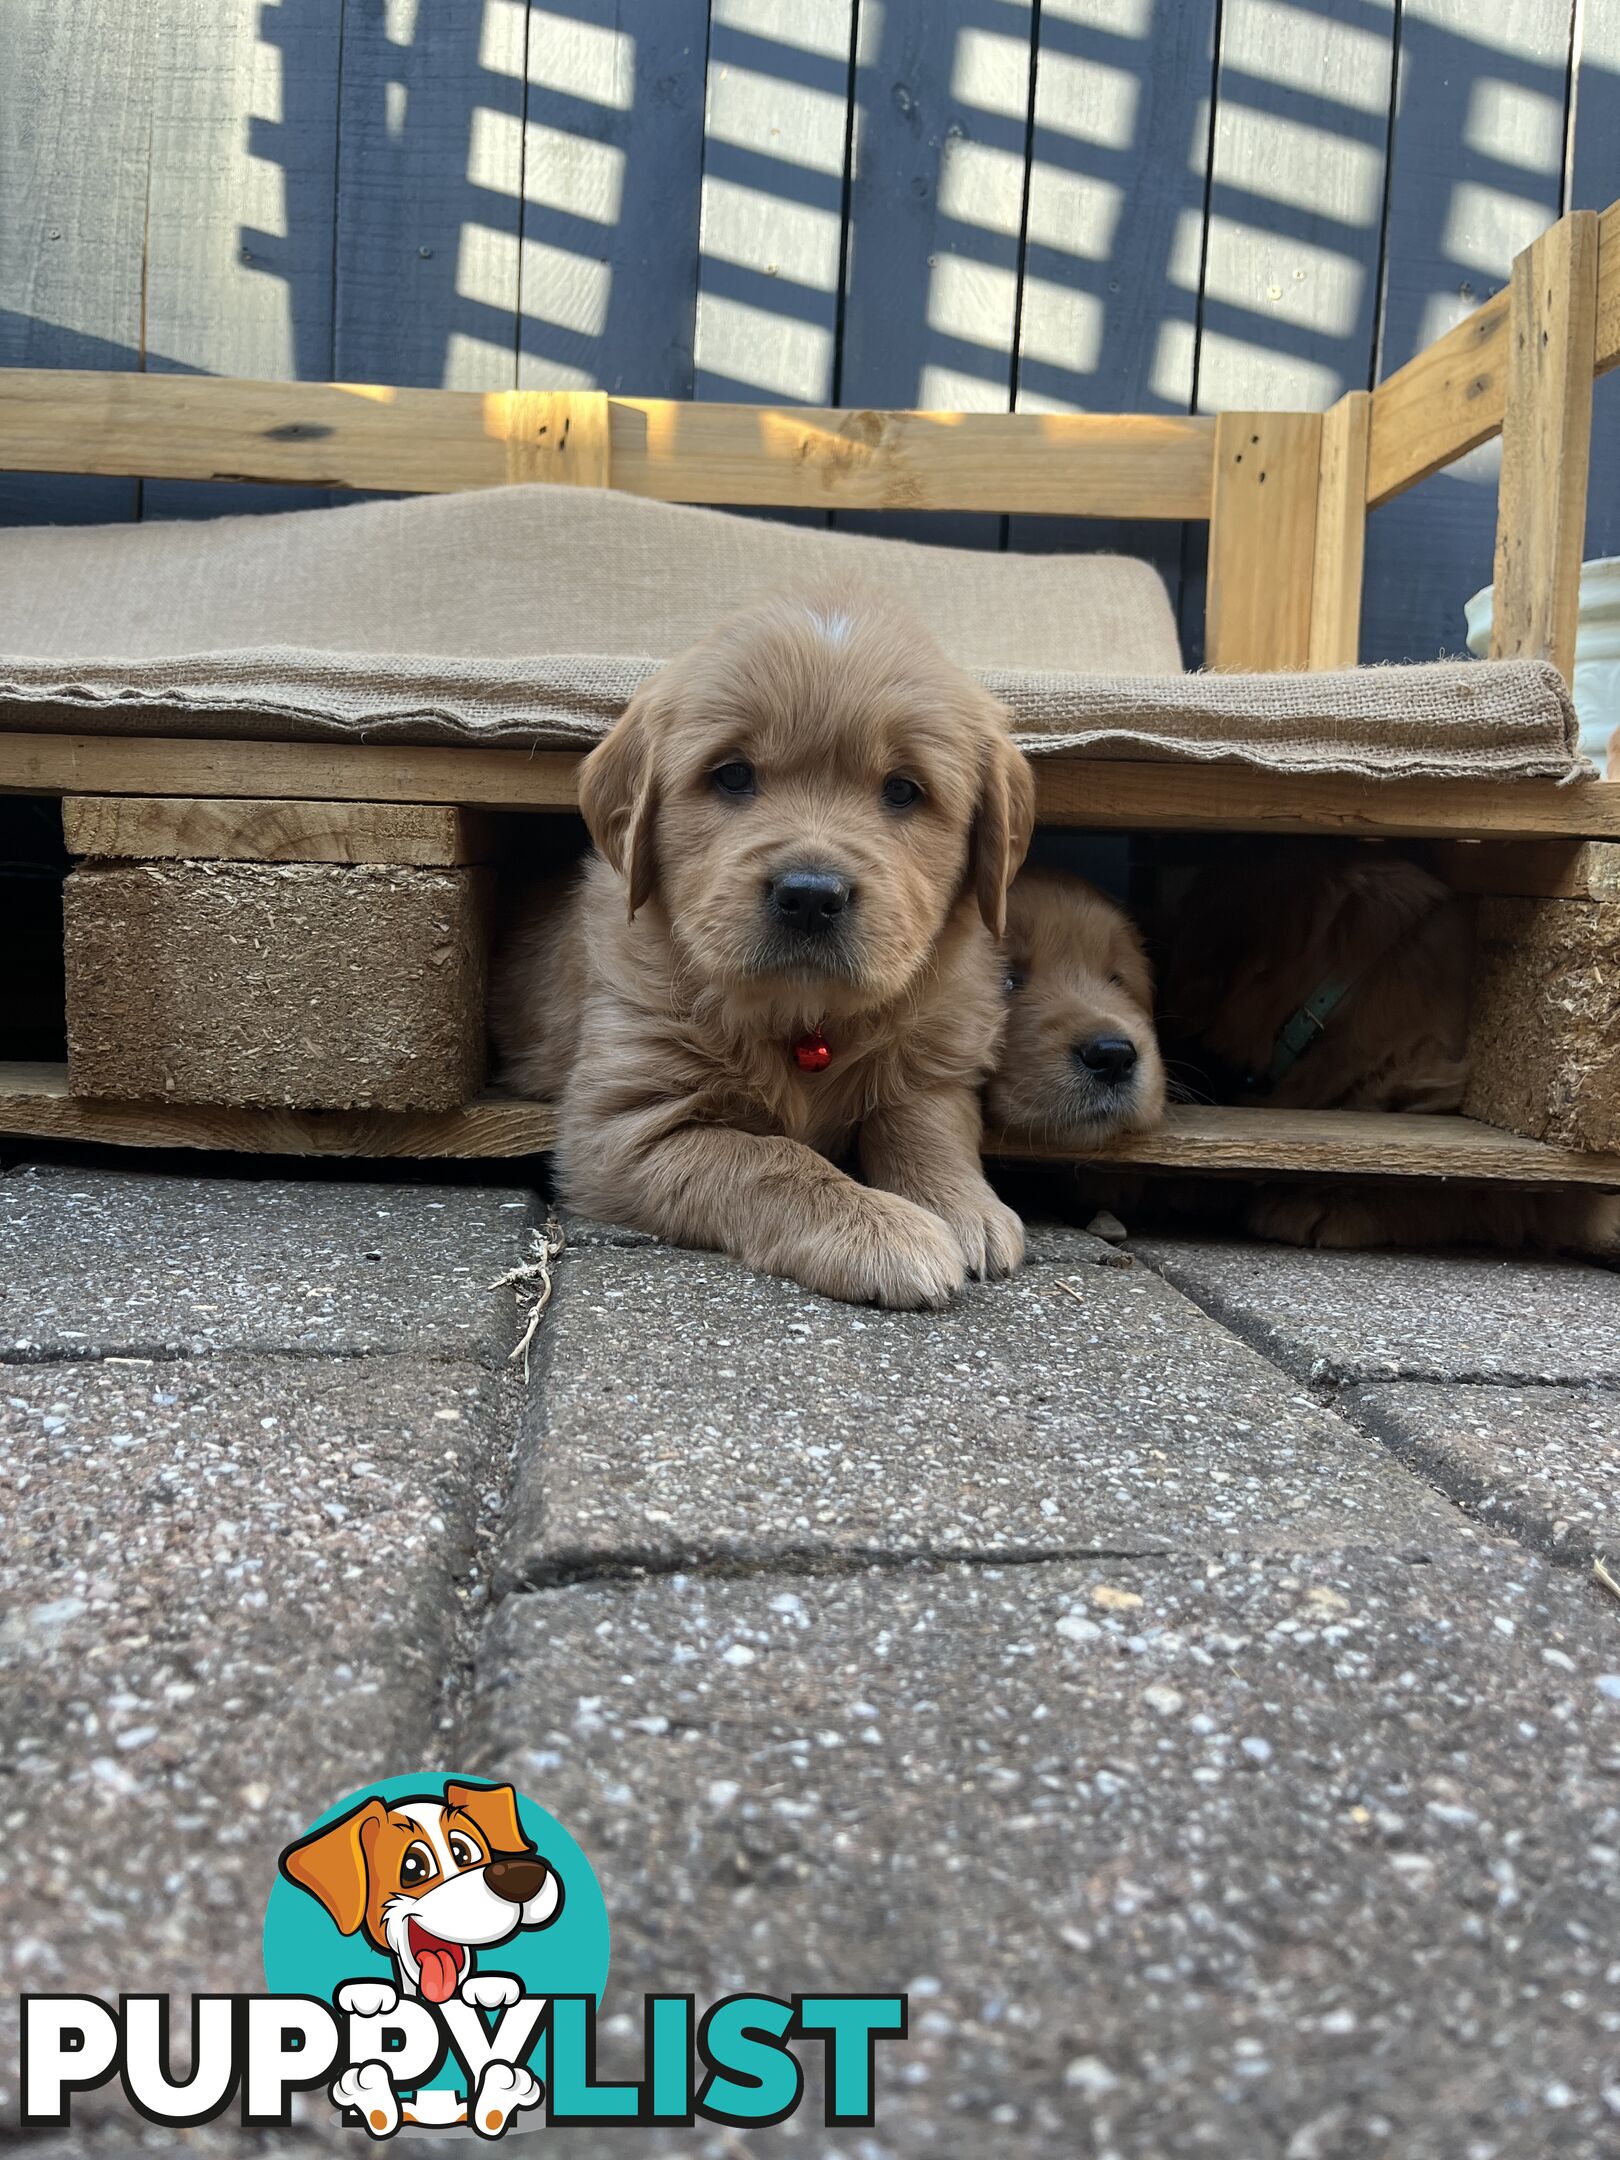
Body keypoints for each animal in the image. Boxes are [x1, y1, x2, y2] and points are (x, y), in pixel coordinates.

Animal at [488, 583, 1041, 1304]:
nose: (809, 896)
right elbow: (768, 1159)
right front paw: (884, 1230)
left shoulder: (936, 1058)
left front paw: (963, 1205)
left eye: (903, 789)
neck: (806, 1019)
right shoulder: (621, 1128)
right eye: (733, 776)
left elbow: (926, 1122)